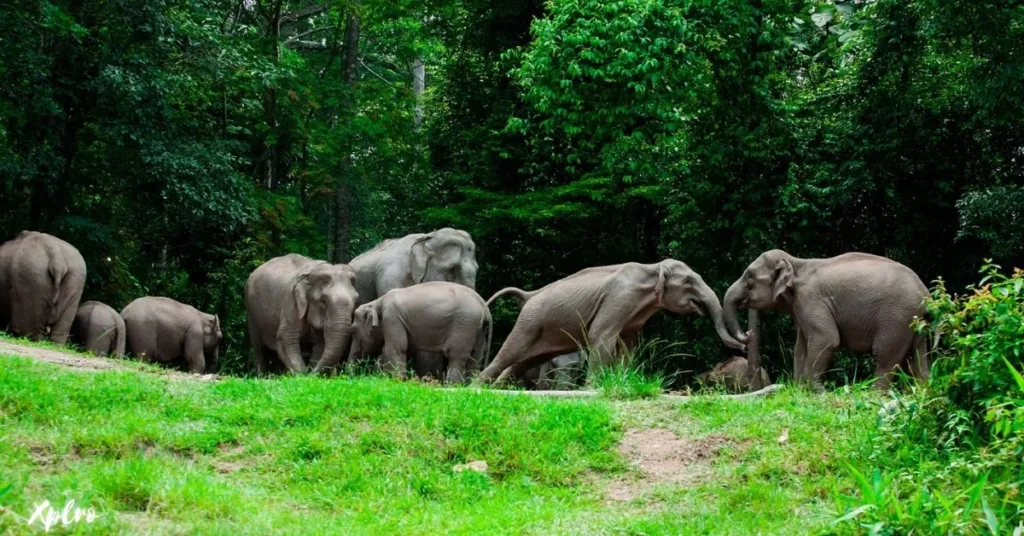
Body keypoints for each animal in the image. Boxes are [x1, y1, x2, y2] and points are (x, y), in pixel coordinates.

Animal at [348, 282, 491, 383]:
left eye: (353, 330)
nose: (349, 377)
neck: (377, 302)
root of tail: (486, 309)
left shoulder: (392, 316)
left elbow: (397, 347)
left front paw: (397, 380)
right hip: (477, 330)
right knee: (475, 358)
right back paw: (468, 385)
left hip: (465, 323)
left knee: (456, 355)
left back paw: (453, 385)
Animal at [479, 259, 745, 381]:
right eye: (689, 282)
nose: (746, 339)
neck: (652, 268)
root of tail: (528, 295)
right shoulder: (619, 298)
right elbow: (601, 336)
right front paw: (593, 388)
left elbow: (629, 345)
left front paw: (623, 378)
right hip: (529, 323)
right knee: (508, 354)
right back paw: (476, 387)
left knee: (519, 364)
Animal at [720, 252, 937, 389]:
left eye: (749, 277)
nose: (748, 334)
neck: (797, 263)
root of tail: (926, 292)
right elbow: (800, 347)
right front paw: (799, 390)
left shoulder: (811, 300)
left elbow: (826, 339)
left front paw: (814, 391)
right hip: (913, 321)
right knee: (917, 358)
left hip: (897, 318)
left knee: (884, 356)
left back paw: (874, 395)